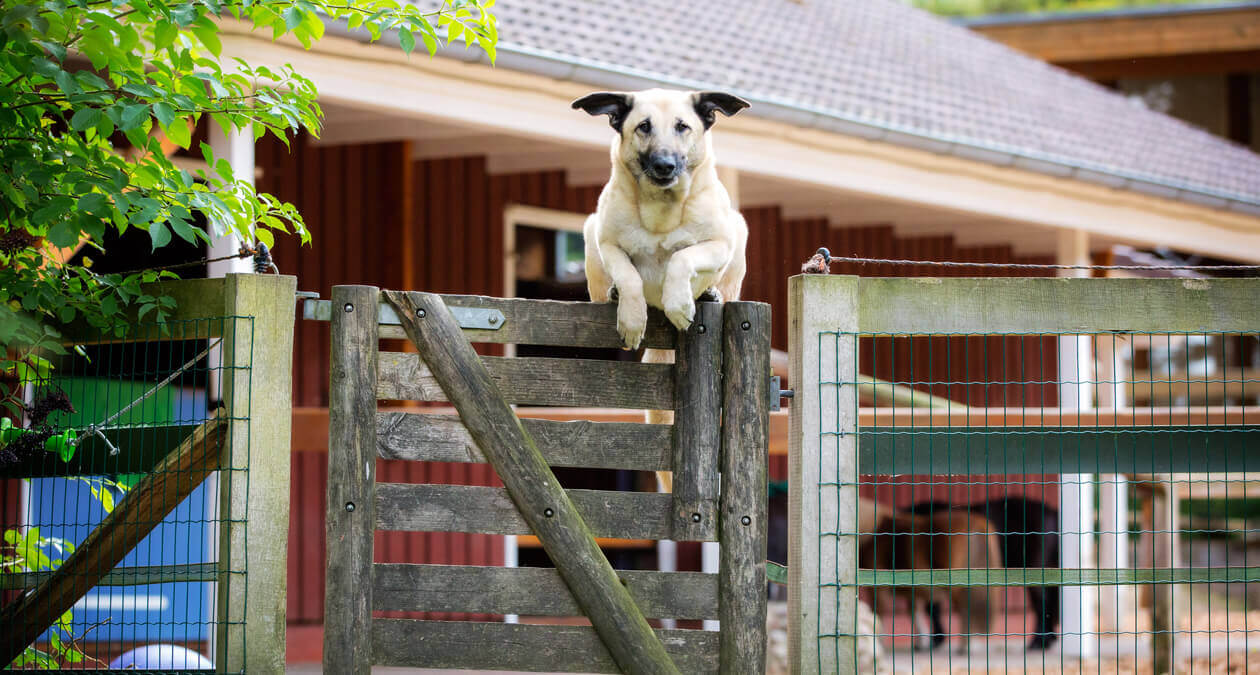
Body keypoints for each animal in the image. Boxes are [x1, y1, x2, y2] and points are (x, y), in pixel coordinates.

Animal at [572, 89, 745, 491]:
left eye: (683, 127)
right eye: (643, 127)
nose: (665, 165)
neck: (660, 210)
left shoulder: (719, 243)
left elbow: (682, 257)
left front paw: (679, 303)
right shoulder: (607, 242)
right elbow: (630, 276)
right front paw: (633, 319)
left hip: (739, 235)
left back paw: (708, 295)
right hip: (589, 239)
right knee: (606, 289)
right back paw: (616, 298)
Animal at [856, 508, 1002, 649]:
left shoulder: (878, 590)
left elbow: (878, 616)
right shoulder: (912, 592)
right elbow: (915, 614)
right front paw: (921, 642)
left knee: (965, 610)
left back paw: (965, 646)